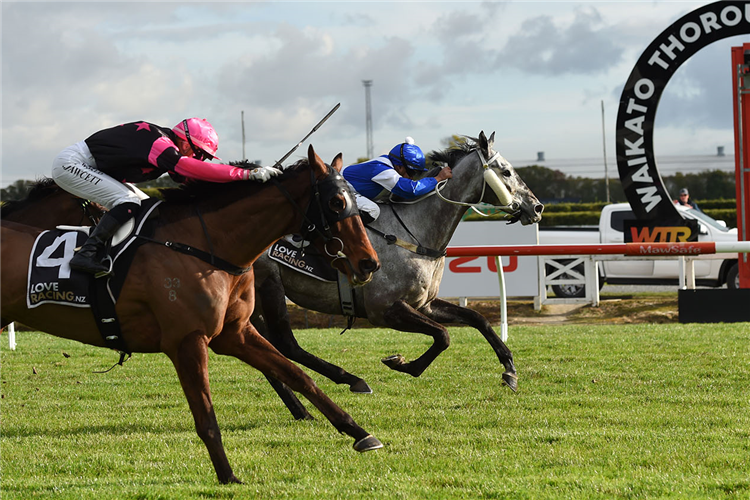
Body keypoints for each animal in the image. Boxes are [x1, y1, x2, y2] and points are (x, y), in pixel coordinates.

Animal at [0, 146, 382, 484]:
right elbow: (206, 415)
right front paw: (228, 476)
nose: (370, 263)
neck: (205, 244)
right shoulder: (187, 341)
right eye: (336, 202)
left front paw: (359, 431)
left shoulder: (235, 333)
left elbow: (298, 375)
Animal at [256, 132, 544, 418]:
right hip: (270, 286)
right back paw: (345, 384)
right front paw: (402, 363)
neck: (414, 235)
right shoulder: (384, 309)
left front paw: (510, 370)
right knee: (284, 344)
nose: (537, 207)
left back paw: (301, 410)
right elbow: (443, 335)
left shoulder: (425, 304)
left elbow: (477, 319)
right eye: (506, 171)